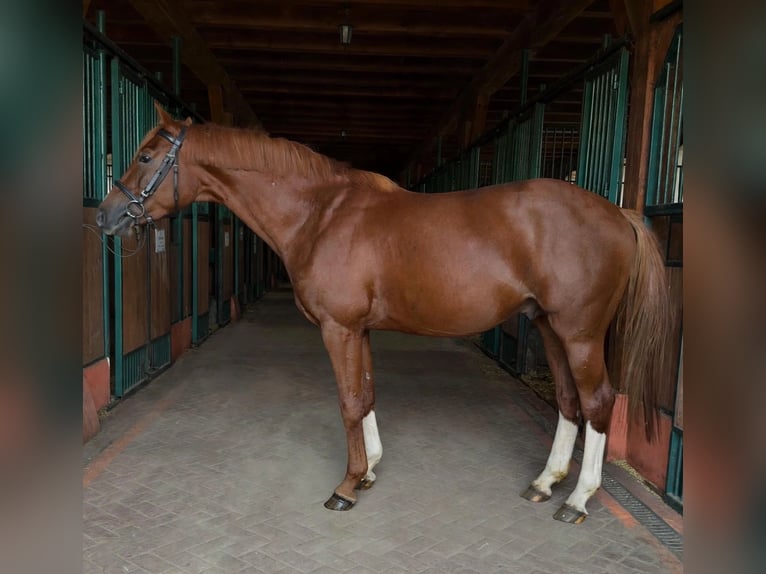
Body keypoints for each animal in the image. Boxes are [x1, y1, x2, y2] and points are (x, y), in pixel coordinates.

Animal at [96, 102, 673, 524]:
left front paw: (347, 487)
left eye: (145, 156)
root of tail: (617, 213)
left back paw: (578, 500)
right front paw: (370, 470)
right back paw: (545, 483)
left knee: (598, 402)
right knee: (570, 403)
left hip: (579, 333)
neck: (321, 214)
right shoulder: (360, 330)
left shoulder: (339, 329)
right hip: (550, 328)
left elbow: (349, 401)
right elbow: (367, 395)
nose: (106, 216)